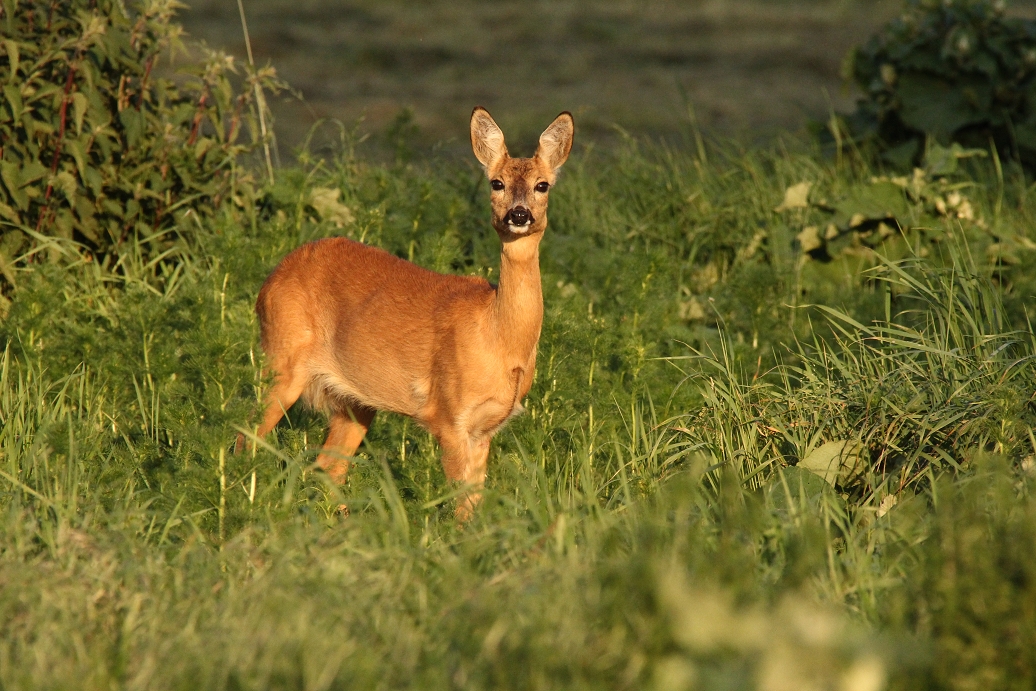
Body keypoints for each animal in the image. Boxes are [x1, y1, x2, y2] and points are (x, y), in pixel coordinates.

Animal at [247, 108, 580, 517]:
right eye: (496, 182)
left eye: (542, 185)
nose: (519, 214)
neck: (500, 339)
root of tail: (271, 279)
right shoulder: (449, 416)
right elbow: (461, 510)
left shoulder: (484, 429)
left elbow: (474, 503)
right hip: (281, 361)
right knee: (244, 435)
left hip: (354, 401)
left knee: (327, 469)